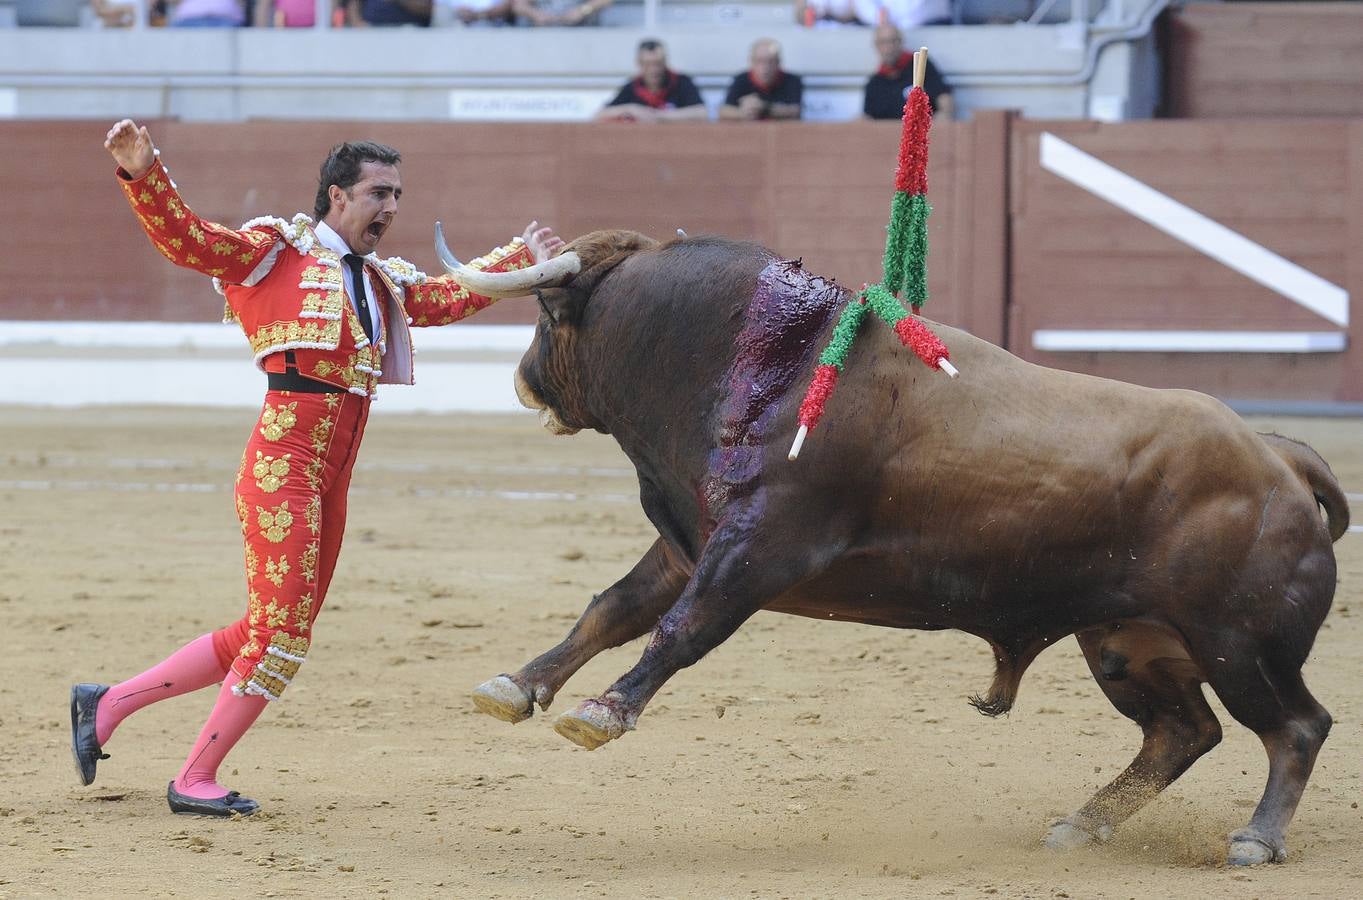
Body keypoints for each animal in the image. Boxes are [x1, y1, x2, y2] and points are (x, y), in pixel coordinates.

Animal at [436, 229, 1341, 867]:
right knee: (1181, 734)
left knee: (1295, 726)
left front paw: (602, 712)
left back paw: (1254, 840)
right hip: (1127, 640)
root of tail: (1277, 456)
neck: (764, 358)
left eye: (548, 313)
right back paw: (1077, 828)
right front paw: (515, 686)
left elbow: (681, 629)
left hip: (1238, 644)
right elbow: (612, 609)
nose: (521, 380)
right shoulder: (692, 543)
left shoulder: (759, 550)